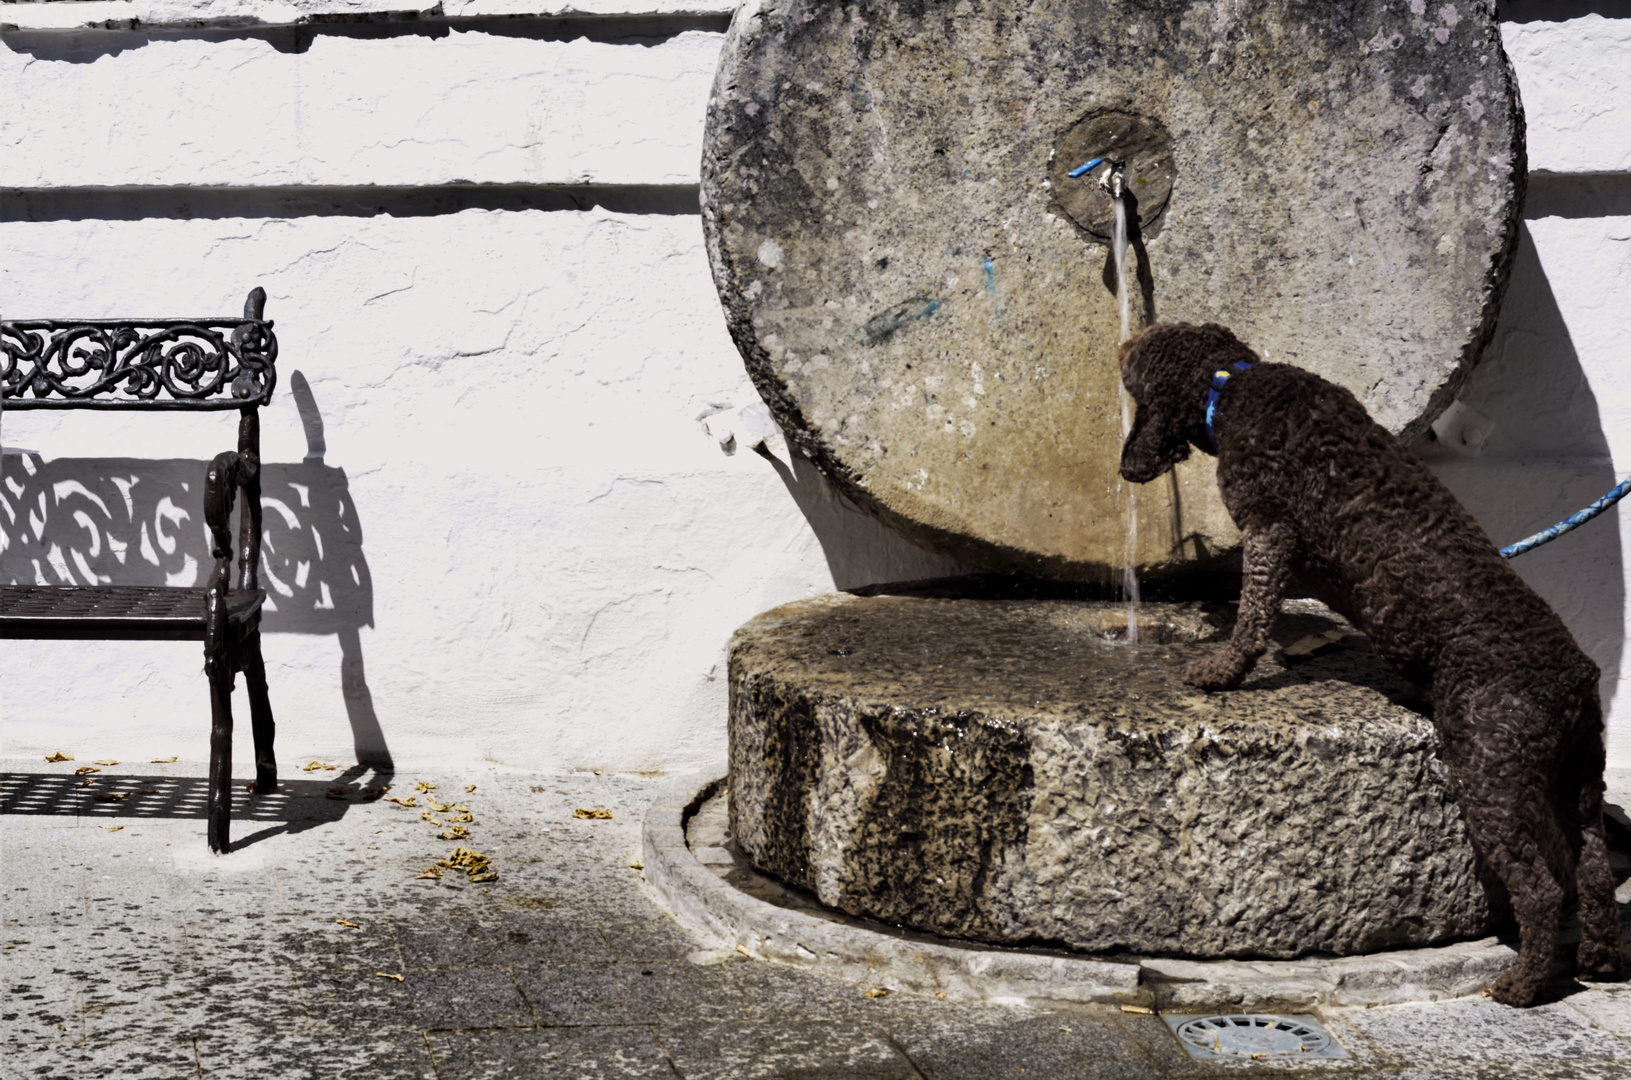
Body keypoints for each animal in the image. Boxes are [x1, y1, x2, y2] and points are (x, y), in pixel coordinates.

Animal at [1115, 319, 1624, 1004]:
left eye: (1142, 350)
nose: (1120, 344)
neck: (1235, 383)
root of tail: (1573, 677)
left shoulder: (1268, 530)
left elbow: (1253, 613)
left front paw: (1223, 670)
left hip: (1491, 778)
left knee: (1542, 890)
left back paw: (1522, 984)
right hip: (1579, 777)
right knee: (1594, 873)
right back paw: (1598, 960)